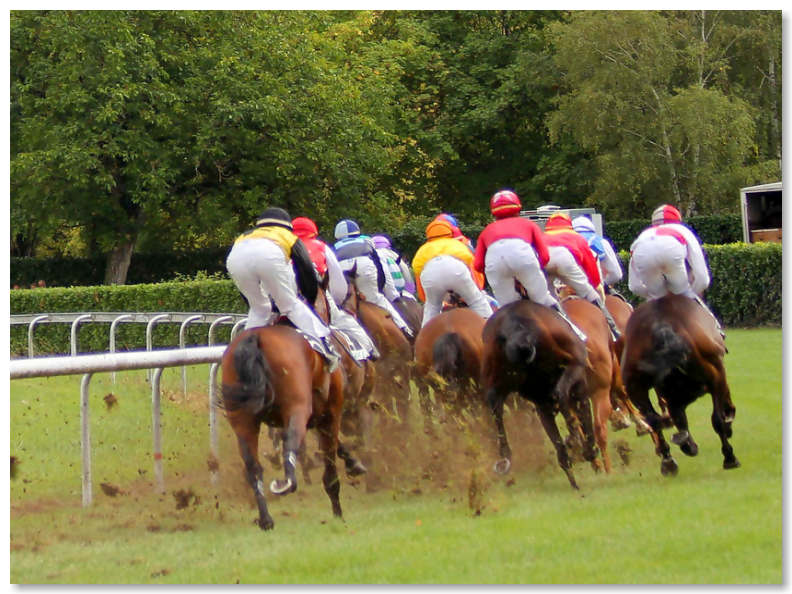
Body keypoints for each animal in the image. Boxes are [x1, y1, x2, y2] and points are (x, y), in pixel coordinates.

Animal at [480, 298, 596, 488]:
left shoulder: (541, 403)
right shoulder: (578, 383)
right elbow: (583, 415)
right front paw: (586, 449)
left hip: (498, 383)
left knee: (495, 408)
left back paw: (505, 458)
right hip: (573, 367)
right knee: (561, 393)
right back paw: (576, 441)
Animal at [620, 294, 736, 474]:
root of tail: (661, 328)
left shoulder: (674, 398)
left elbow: (679, 421)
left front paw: (687, 444)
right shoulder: (716, 377)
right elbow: (719, 412)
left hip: (634, 386)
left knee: (654, 420)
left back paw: (668, 461)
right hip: (714, 373)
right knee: (716, 418)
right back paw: (729, 457)